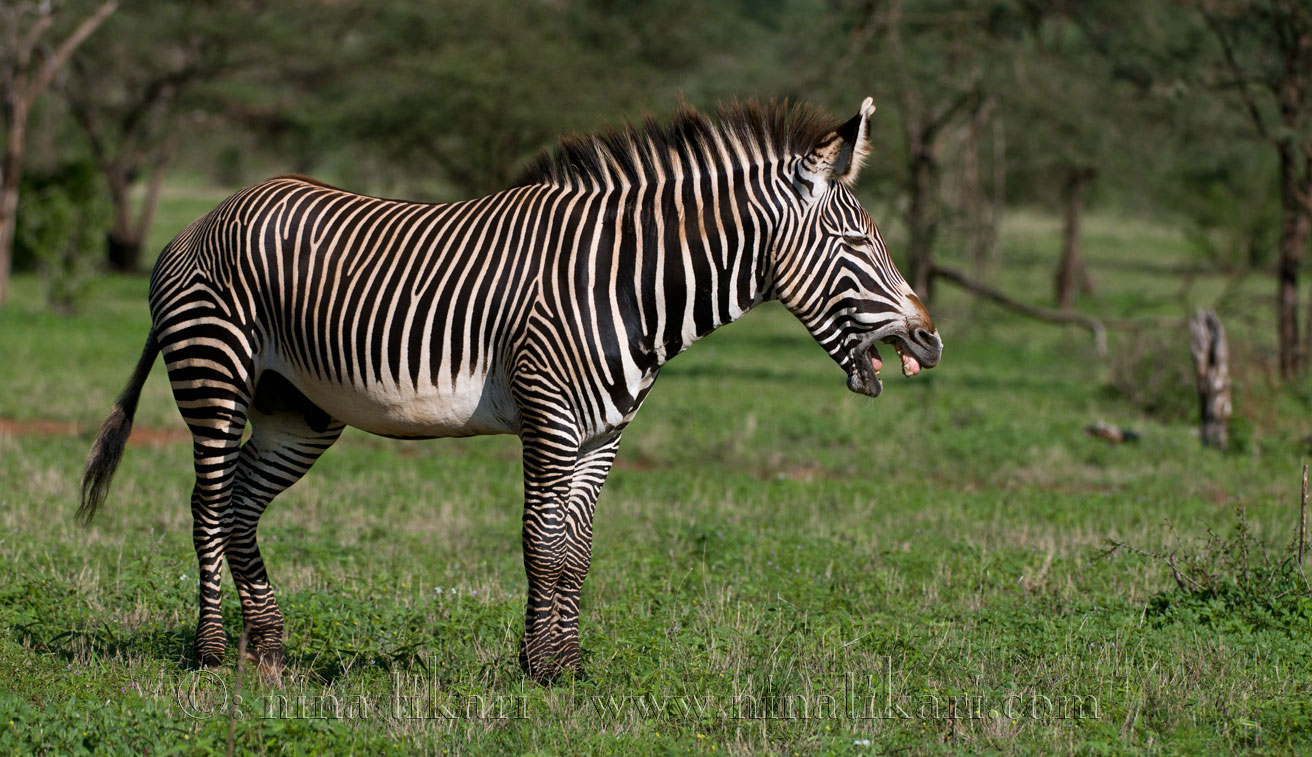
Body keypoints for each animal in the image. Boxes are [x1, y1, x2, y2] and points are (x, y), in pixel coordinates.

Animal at [76, 97, 944, 682]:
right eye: (856, 241)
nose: (931, 341)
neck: (626, 284)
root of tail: (199, 222)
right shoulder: (549, 418)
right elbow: (541, 541)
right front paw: (538, 668)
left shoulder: (603, 433)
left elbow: (578, 549)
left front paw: (569, 662)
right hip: (215, 373)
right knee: (205, 502)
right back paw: (210, 648)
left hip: (300, 410)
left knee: (240, 505)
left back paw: (269, 647)